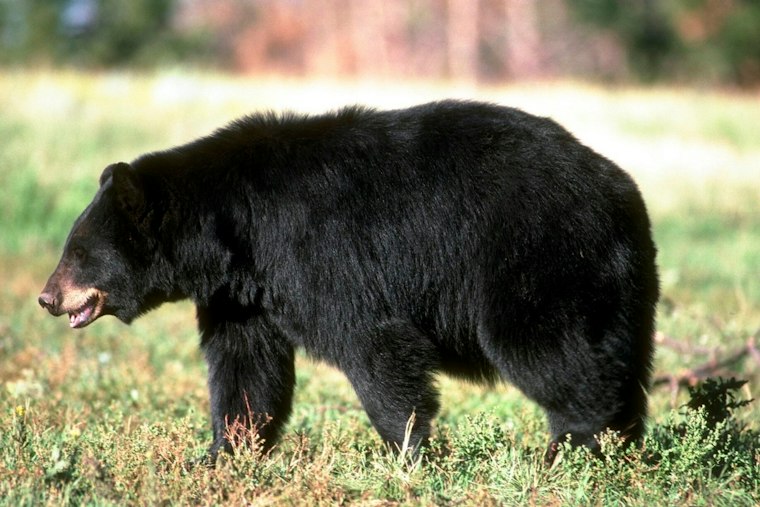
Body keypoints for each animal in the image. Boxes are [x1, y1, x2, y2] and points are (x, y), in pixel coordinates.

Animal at [39, 100, 658, 464]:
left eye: (79, 252)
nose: (48, 297)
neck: (234, 230)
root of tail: (620, 188)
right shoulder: (243, 295)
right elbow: (246, 368)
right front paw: (222, 455)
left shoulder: (319, 252)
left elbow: (372, 343)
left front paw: (408, 454)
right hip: (618, 283)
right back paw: (621, 446)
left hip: (535, 256)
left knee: (549, 351)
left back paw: (574, 448)